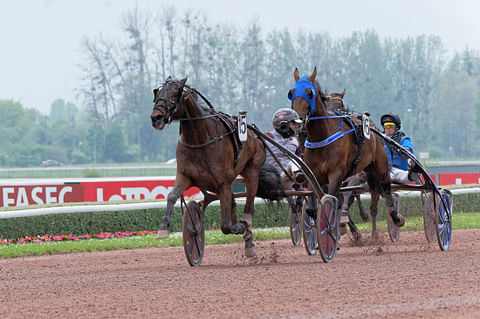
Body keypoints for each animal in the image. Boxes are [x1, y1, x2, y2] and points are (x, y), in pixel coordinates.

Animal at [151, 77, 284, 258]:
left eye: (175, 93)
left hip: (252, 171)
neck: (200, 139)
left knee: (249, 205)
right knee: (233, 203)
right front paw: (164, 229)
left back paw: (248, 240)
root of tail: (254, 134)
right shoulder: (185, 176)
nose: (156, 117)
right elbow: (172, 196)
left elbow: (226, 226)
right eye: (157, 92)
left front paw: (239, 226)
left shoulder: (223, 183)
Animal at [288, 67, 404, 239]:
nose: (297, 121)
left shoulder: (337, 174)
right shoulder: (314, 174)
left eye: (309, 93)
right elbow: (312, 208)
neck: (322, 137)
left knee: (386, 188)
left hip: (379, 165)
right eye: (292, 92)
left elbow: (332, 200)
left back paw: (394, 218)